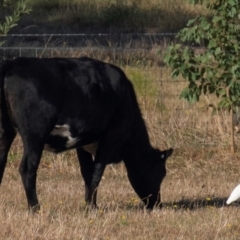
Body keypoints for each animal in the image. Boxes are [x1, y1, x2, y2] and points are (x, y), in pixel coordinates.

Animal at [0, 57, 172, 212]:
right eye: (161, 172)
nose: (157, 204)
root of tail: (12, 64)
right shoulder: (111, 137)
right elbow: (97, 172)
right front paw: (92, 207)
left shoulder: (82, 142)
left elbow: (87, 172)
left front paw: (90, 204)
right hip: (35, 135)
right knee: (28, 169)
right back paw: (35, 208)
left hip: (6, 132)